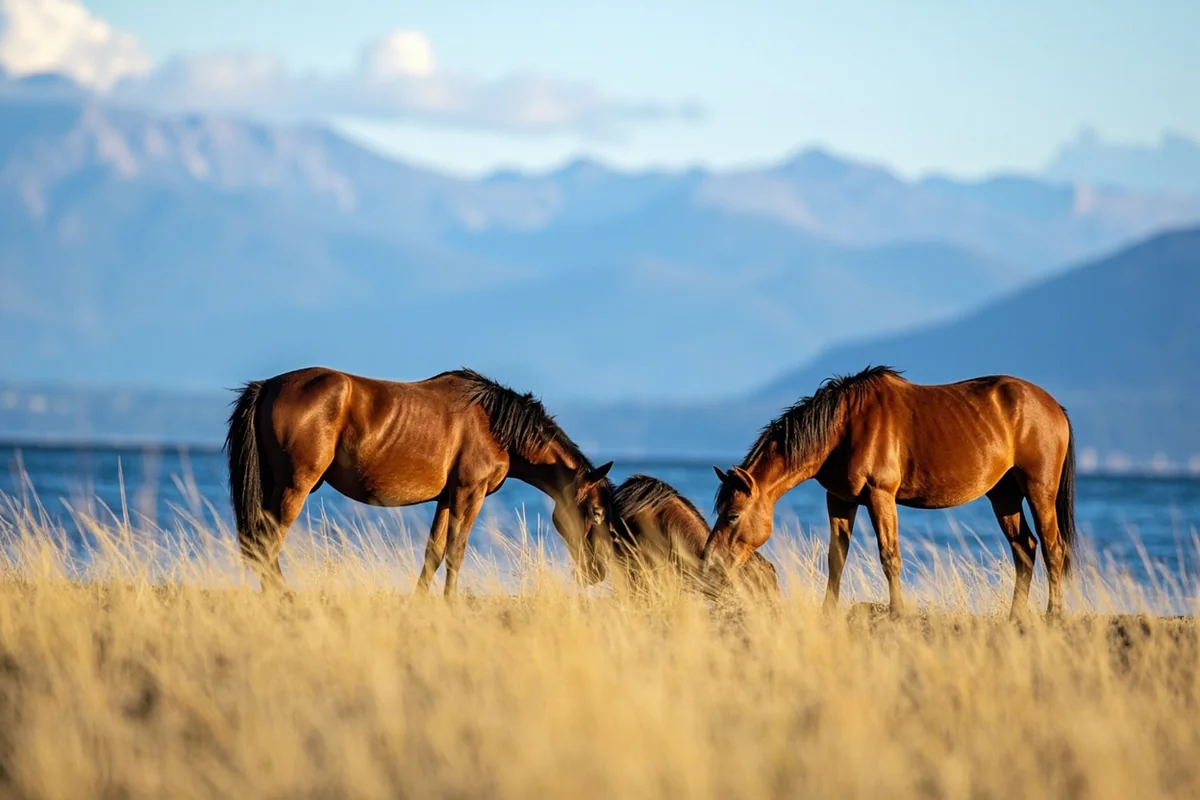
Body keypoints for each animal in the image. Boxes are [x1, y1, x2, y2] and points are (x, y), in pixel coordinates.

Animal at [225, 367, 618, 597]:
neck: (495, 427)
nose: (597, 573)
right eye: (597, 513)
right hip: (295, 486)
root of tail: (269, 385)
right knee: (267, 542)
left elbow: (434, 552)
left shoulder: (447, 497)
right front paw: (449, 605)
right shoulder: (469, 494)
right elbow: (457, 552)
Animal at [701, 366, 1076, 619]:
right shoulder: (840, 499)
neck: (842, 429)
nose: (709, 562)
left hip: (1039, 491)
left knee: (1052, 547)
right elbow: (836, 557)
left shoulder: (880, 496)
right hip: (1004, 495)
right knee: (1025, 548)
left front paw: (897, 612)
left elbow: (889, 556)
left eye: (733, 515)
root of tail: (1054, 406)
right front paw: (828, 610)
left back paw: (1053, 614)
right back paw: (1016, 616)